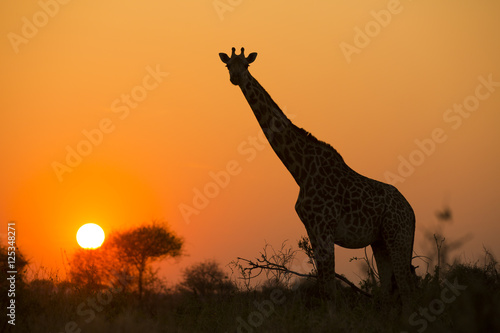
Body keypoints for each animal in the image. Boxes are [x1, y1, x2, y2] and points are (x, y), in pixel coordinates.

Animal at [221, 47, 416, 308]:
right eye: (228, 65)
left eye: (246, 65)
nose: (235, 77)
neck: (301, 170)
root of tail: (411, 212)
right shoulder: (312, 228)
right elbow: (323, 288)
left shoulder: (324, 225)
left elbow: (329, 289)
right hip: (380, 241)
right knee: (389, 290)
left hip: (398, 236)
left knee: (406, 287)